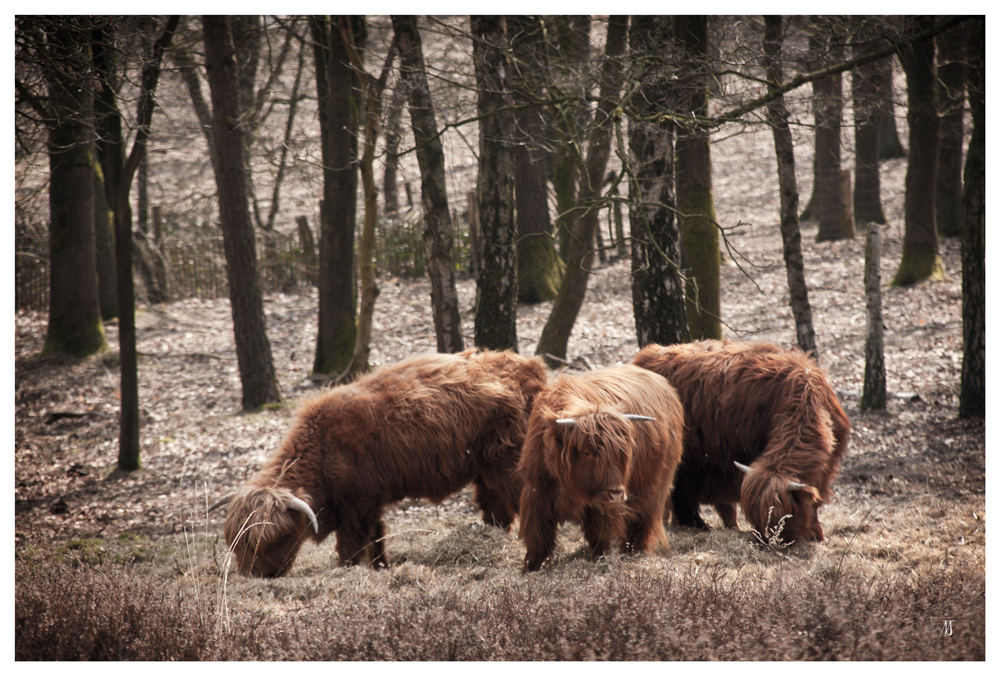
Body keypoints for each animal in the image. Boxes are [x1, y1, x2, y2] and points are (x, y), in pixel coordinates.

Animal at [209, 348, 548, 576]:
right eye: (236, 543)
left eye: (275, 538)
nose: (254, 576)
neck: (323, 449)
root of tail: (529, 367)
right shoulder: (369, 503)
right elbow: (376, 538)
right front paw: (380, 568)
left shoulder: (358, 504)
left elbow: (352, 544)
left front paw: (347, 570)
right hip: (484, 469)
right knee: (496, 508)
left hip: (508, 463)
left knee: (525, 499)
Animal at [516, 368, 688, 572]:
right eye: (586, 452)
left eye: (622, 453)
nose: (615, 493)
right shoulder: (536, 494)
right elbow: (538, 537)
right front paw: (530, 569)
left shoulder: (600, 505)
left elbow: (599, 534)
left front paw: (601, 560)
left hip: (653, 487)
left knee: (642, 520)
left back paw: (634, 553)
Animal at [632, 340, 852, 540]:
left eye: (788, 514)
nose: (773, 542)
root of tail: (647, 355)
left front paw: (817, 533)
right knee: (680, 494)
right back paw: (697, 525)